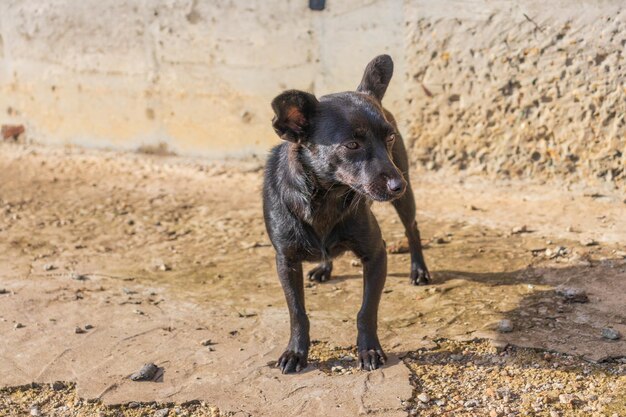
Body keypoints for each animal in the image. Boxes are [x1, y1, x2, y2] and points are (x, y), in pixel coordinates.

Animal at [260, 53, 426, 372]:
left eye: (388, 138)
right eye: (352, 144)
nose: (397, 185)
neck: (327, 198)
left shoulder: (376, 254)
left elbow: (366, 311)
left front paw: (369, 349)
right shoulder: (285, 261)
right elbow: (297, 312)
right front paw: (295, 352)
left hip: (406, 197)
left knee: (412, 229)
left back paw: (420, 270)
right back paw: (324, 267)